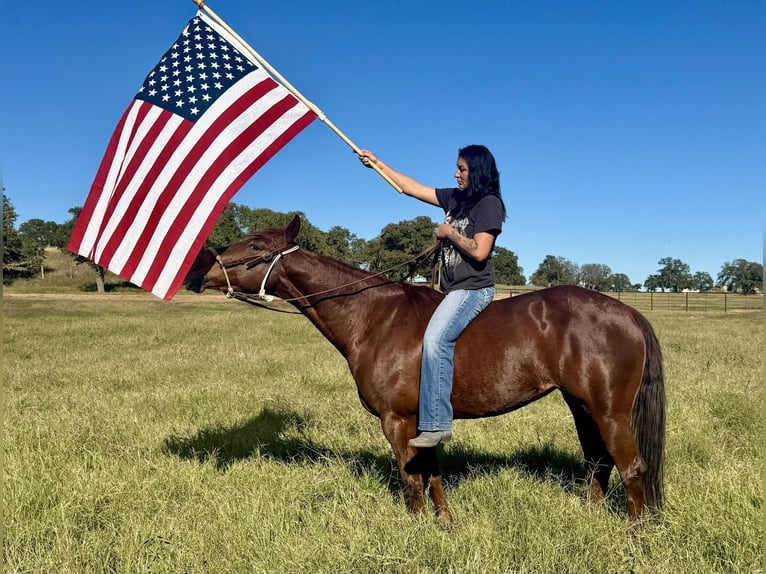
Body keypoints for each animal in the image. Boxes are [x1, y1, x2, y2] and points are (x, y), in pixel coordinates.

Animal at [186, 215, 664, 520]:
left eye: (256, 247)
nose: (199, 266)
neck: (373, 317)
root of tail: (628, 313)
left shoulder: (396, 419)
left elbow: (411, 479)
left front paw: (417, 530)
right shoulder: (423, 420)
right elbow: (432, 475)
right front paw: (444, 523)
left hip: (609, 411)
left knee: (632, 468)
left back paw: (634, 536)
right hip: (582, 407)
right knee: (598, 464)